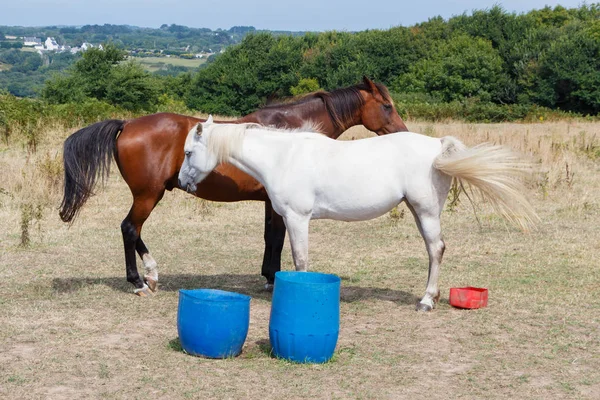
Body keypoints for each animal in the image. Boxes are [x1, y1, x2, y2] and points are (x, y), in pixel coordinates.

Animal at [59, 76, 408, 296]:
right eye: (387, 106)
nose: (403, 131)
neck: (288, 132)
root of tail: (127, 124)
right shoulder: (278, 205)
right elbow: (276, 239)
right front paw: (272, 278)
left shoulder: (270, 203)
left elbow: (269, 238)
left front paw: (268, 275)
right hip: (148, 195)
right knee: (130, 228)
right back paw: (140, 281)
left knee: (133, 230)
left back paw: (152, 273)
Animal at [179, 117, 540, 310]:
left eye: (189, 152)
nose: (182, 182)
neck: (283, 157)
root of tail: (437, 145)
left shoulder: (298, 219)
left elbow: (300, 260)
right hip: (418, 210)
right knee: (432, 250)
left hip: (425, 211)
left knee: (436, 249)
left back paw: (426, 300)